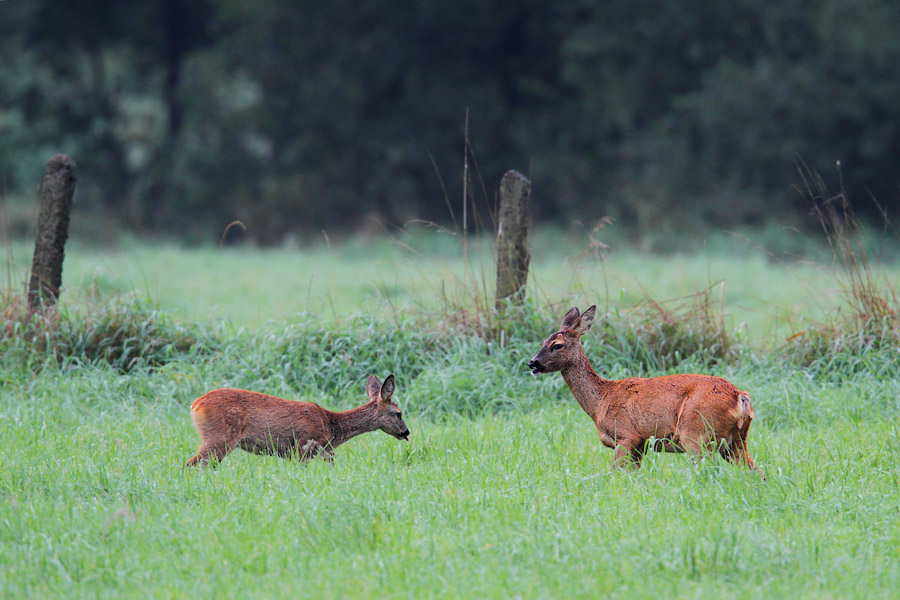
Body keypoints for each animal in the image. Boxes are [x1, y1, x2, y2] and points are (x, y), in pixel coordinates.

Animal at [187, 372, 412, 466]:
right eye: (399, 413)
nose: (407, 432)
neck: (332, 427)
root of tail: (195, 405)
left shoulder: (321, 450)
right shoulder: (304, 445)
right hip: (220, 437)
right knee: (191, 464)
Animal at [528, 308, 760, 476]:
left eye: (557, 345)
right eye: (543, 342)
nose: (533, 363)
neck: (601, 401)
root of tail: (740, 397)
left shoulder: (627, 435)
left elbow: (613, 473)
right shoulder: (641, 445)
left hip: (695, 432)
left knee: (710, 472)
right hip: (736, 440)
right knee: (756, 472)